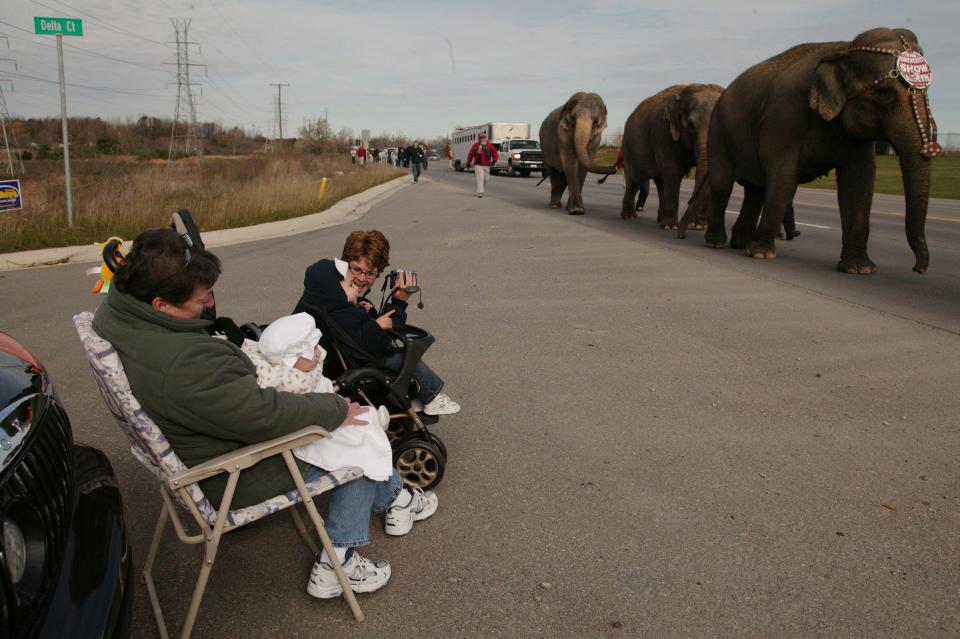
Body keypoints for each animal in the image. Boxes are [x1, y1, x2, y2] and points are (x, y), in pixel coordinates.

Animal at [620, 82, 724, 238]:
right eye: (691, 126)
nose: (682, 235)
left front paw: (700, 226)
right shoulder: (663, 133)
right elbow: (673, 171)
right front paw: (670, 227)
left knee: (660, 182)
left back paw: (659, 218)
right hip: (628, 147)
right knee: (634, 180)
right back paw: (629, 217)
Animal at [700, 27, 940, 274]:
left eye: (927, 90)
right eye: (883, 93)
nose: (918, 269)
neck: (844, 50)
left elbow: (859, 181)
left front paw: (859, 268)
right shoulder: (783, 116)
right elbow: (784, 175)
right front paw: (761, 254)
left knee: (755, 190)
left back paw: (740, 243)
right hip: (718, 132)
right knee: (723, 185)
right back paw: (717, 242)